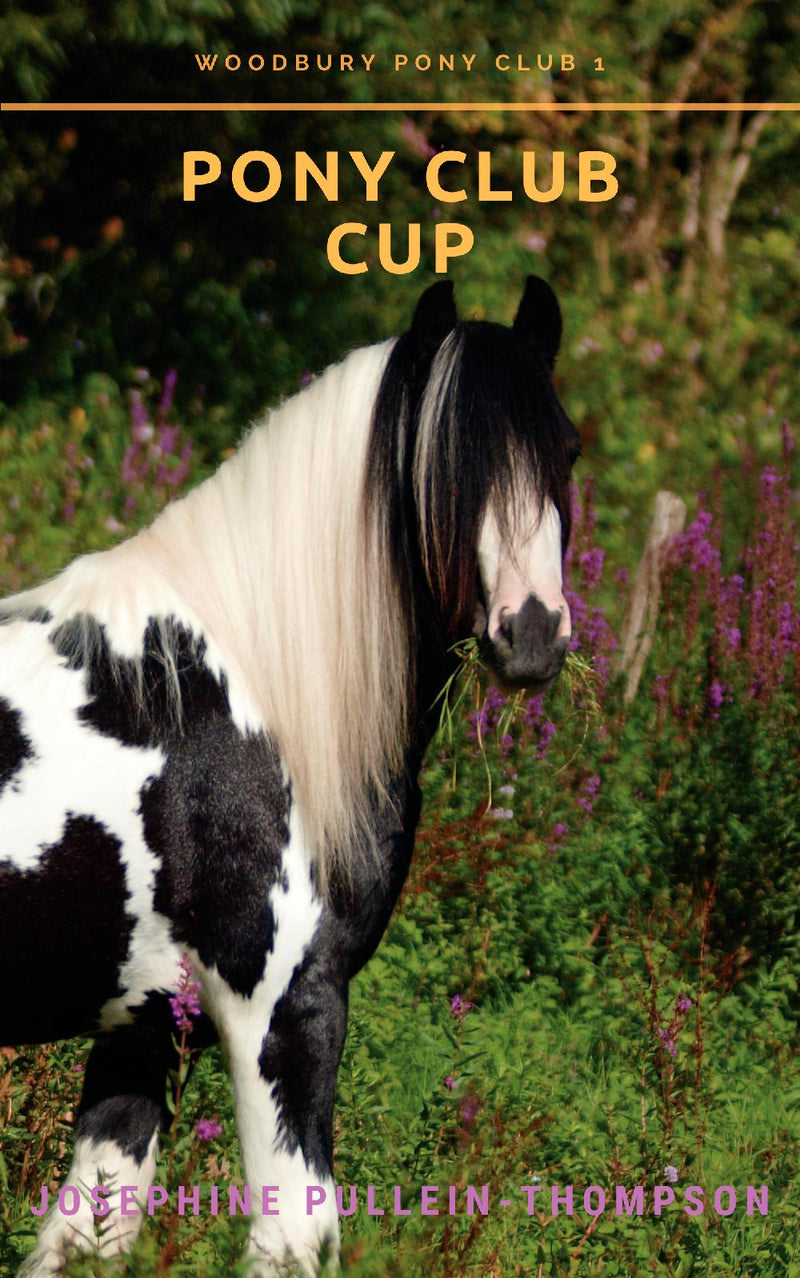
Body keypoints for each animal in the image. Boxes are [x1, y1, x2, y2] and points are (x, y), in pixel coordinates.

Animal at [0, 276, 580, 1276]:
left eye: (565, 453)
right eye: (445, 466)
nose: (533, 632)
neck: (245, 688)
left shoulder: (142, 1026)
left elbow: (87, 1235)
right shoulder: (282, 1006)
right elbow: (296, 1234)